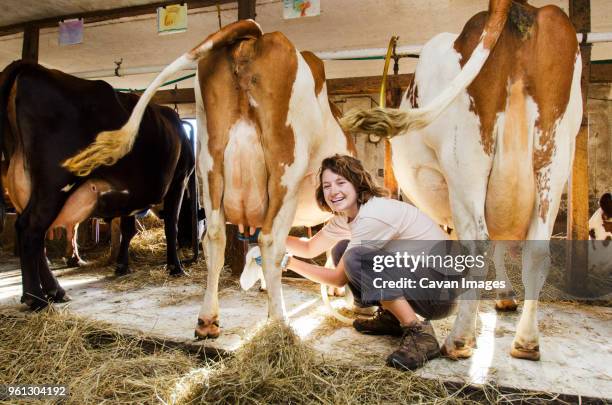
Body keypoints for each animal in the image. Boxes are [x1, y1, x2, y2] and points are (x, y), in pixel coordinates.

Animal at [62, 19, 354, 338]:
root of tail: (255, 36)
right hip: (285, 168)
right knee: (270, 242)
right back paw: (280, 322)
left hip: (211, 163)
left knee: (214, 238)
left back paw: (207, 320)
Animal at [344, 0, 584, 360]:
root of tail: (522, 8)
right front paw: (504, 295)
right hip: (553, 163)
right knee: (535, 251)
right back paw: (526, 342)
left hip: (465, 164)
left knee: (479, 244)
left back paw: (459, 339)